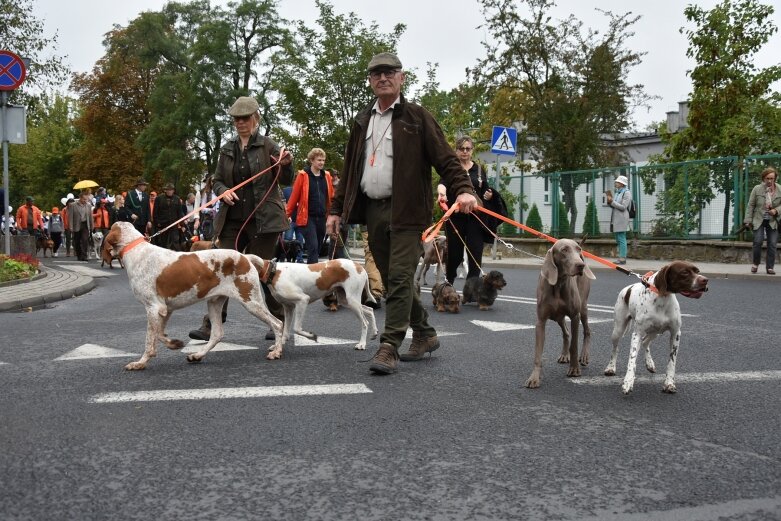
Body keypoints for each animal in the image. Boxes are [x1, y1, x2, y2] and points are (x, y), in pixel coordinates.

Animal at [103, 221, 284, 368]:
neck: (135, 249)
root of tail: (245, 257)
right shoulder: (164, 309)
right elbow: (159, 334)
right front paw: (173, 344)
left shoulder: (153, 308)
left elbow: (149, 339)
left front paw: (140, 363)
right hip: (214, 303)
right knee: (217, 334)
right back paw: (197, 355)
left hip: (251, 302)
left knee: (277, 324)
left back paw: (276, 351)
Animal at [245, 256, 376, 358]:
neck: (274, 272)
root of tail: (359, 266)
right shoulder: (288, 307)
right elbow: (285, 331)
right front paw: (278, 347)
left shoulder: (302, 301)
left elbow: (297, 328)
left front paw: (312, 336)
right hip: (346, 301)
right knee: (369, 310)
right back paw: (374, 332)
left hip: (352, 300)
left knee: (365, 323)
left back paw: (362, 344)